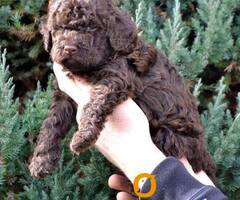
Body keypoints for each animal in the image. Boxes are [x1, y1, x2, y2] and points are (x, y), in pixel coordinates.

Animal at [28, 0, 218, 182]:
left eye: (93, 28)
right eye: (59, 28)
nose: (69, 48)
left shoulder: (117, 79)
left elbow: (95, 104)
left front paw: (82, 137)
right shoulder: (64, 95)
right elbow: (52, 123)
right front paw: (41, 161)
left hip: (169, 137)